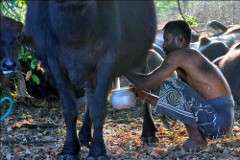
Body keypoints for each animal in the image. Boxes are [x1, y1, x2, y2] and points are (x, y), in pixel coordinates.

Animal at [24, 1, 158, 159]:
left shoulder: (106, 63)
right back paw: (84, 134)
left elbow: (98, 109)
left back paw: (148, 132)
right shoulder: (55, 65)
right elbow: (70, 109)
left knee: (145, 85)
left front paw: (97, 150)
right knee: (89, 94)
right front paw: (69, 149)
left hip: (141, 57)